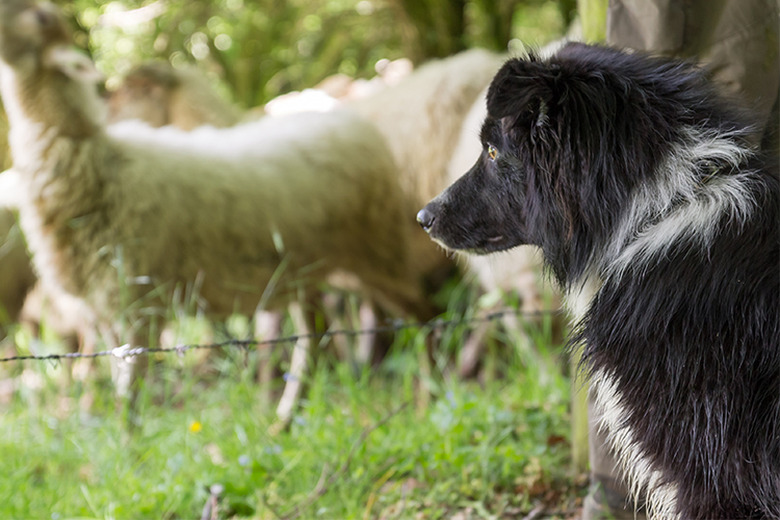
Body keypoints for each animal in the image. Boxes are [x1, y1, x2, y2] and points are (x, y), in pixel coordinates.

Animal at [0, 0, 433, 424]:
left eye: (41, 16)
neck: (100, 159)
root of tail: (347, 117)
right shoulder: (105, 306)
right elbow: (121, 379)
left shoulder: (139, 299)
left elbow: (131, 398)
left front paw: (127, 441)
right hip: (307, 274)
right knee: (313, 338)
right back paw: (284, 419)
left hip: (376, 255)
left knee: (423, 313)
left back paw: (432, 394)